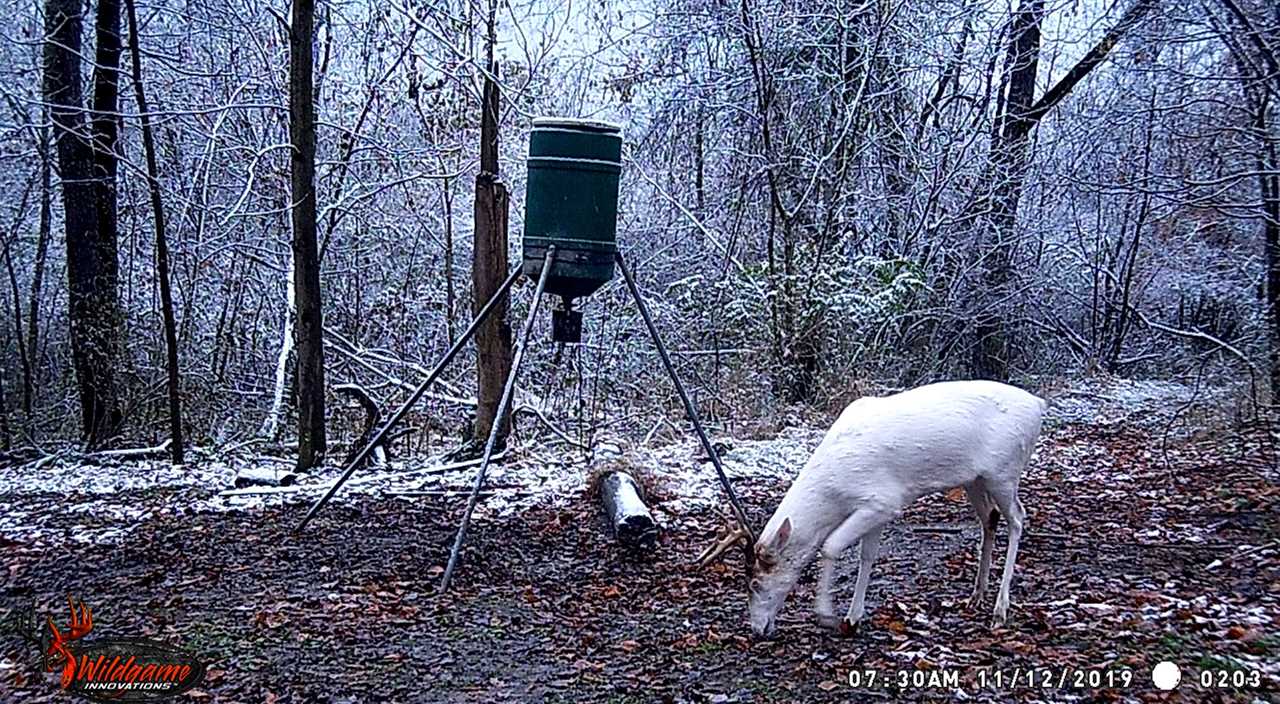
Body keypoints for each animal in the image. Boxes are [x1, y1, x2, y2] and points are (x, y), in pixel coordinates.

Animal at [701, 381, 1049, 640]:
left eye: (755, 584)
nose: (757, 630)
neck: (835, 489)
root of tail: (1038, 405)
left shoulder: (883, 499)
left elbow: (831, 546)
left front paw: (828, 615)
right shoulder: (878, 509)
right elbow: (867, 556)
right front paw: (853, 618)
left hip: (1004, 471)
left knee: (1018, 518)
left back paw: (1000, 609)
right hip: (975, 479)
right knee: (990, 518)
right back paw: (977, 594)